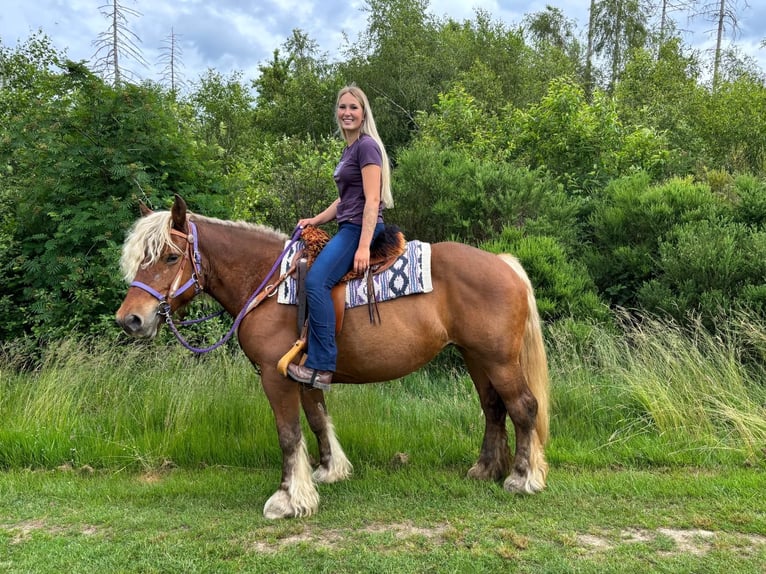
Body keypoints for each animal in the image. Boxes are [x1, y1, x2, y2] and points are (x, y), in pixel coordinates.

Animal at [115, 195, 550, 519]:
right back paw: (485, 470)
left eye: (170, 257)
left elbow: (289, 433)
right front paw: (329, 470)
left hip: (498, 360)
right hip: (476, 357)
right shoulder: (303, 373)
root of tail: (502, 263)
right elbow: (318, 420)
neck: (270, 285)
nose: (130, 319)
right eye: (140, 259)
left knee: (523, 407)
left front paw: (290, 498)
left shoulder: (275, 376)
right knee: (493, 407)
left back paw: (522, 478)